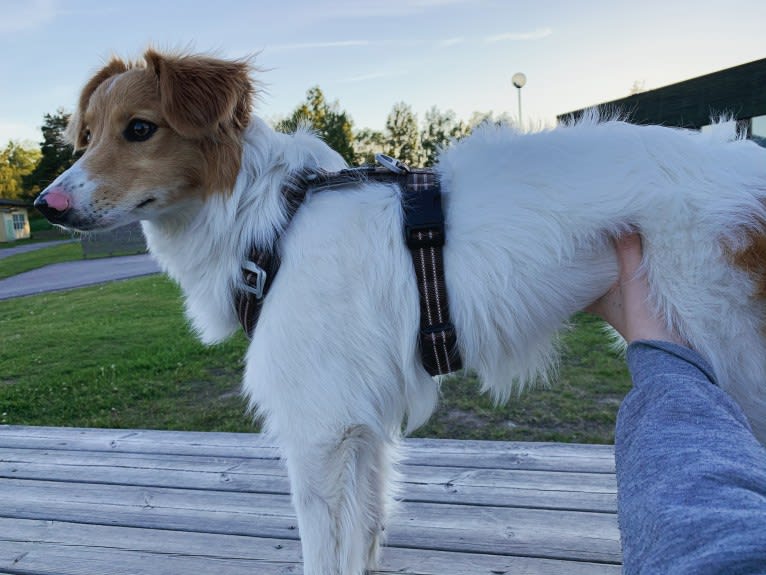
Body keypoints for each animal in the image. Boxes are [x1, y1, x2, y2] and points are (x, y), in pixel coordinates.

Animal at [34, 50, 766, 575]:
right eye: (87, 135)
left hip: (733, 354)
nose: (46, 205)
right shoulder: (360, 425)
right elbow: (365, 534)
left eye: (139, 129)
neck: (266, 219)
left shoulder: (317, 432)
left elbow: (325, 554)